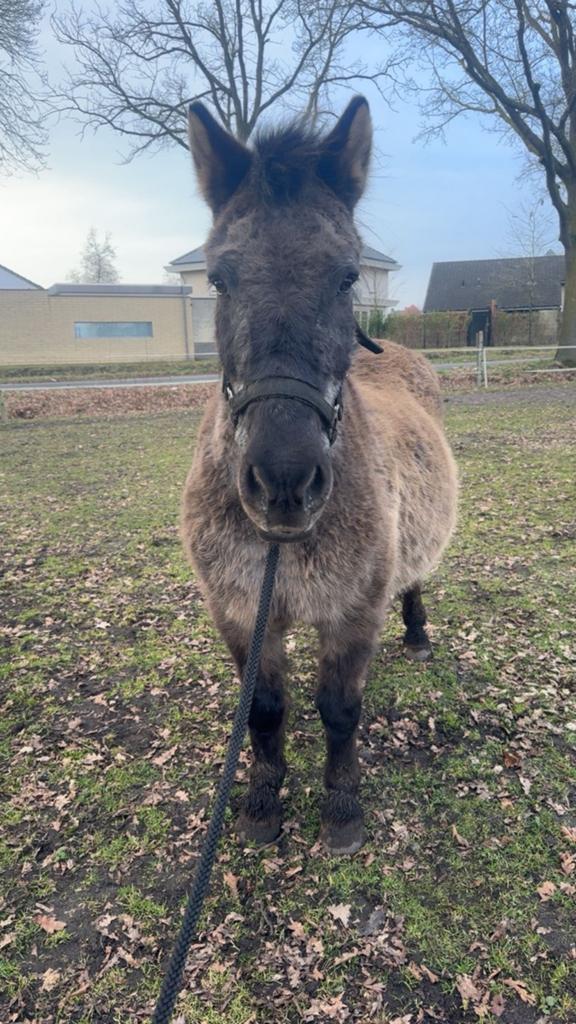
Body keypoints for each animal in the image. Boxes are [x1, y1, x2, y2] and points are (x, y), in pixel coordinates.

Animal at [181, 96, 458, 856]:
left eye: (346, 275)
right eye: (219, 278)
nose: (284, 482)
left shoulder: (352, 613)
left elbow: (338, 709)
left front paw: (341, 808)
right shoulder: (241, 613)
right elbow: (264, 712)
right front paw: (261, 803)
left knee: (414, 582)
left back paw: (416, 635)